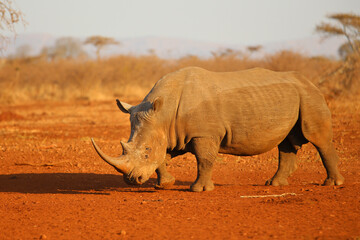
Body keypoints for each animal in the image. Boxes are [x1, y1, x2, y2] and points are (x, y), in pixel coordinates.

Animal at [91, 66, 344, 192]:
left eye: (145, 151)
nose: (131, 181)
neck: (164, 112)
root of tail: (311, 82)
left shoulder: (203, 133)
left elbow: (204, 159)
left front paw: (200, 190)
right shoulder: (174, 133)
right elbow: (163, 157)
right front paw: (166, 184)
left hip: (310, 96)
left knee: (318, 138)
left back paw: (333, 184)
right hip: (292, 96)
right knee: (287, 141)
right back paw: (274, 184)